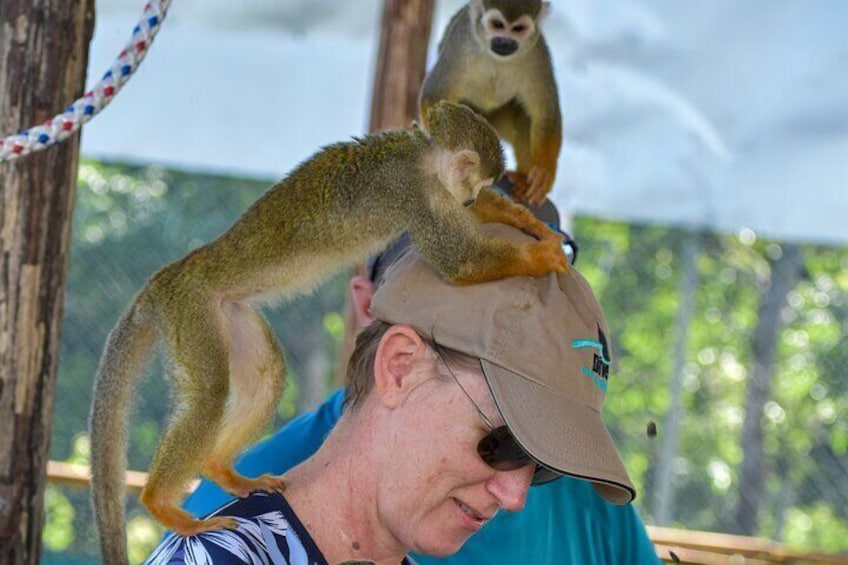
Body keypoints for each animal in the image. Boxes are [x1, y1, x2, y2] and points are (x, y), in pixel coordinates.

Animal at [88, 100, 568, 564]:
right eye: (476, 181)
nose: (469, 199)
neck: (422, 157)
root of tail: (169, 277)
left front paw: (530, 224)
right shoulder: (411, 191)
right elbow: (459, 262)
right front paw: (541, 256)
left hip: (228, 314)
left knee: (265, 375)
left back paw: (221, 470)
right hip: (193, 312)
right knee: (208, 395)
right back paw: (160, 504)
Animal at [419, 0, 562, 206]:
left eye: (518, 29)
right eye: (497, 25)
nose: (505, 42)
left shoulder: (537, 53)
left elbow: (546, 114)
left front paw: (543, 173)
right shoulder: (460, 43)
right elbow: (434, 96)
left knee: (524, 115)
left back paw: (522, 178)